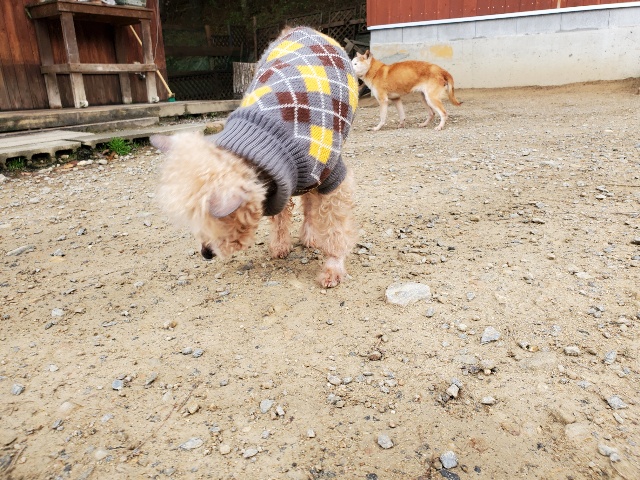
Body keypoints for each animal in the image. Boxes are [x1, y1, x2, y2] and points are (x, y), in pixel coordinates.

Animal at [152, 27, 359, 288]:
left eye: (219, 222)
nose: (205, 253)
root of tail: (300, 28)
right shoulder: (283, 180)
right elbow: (281, 215)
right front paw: (280, 245)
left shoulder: (332, 178)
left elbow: (335, 227)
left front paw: (333, 267)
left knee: (312, 201)